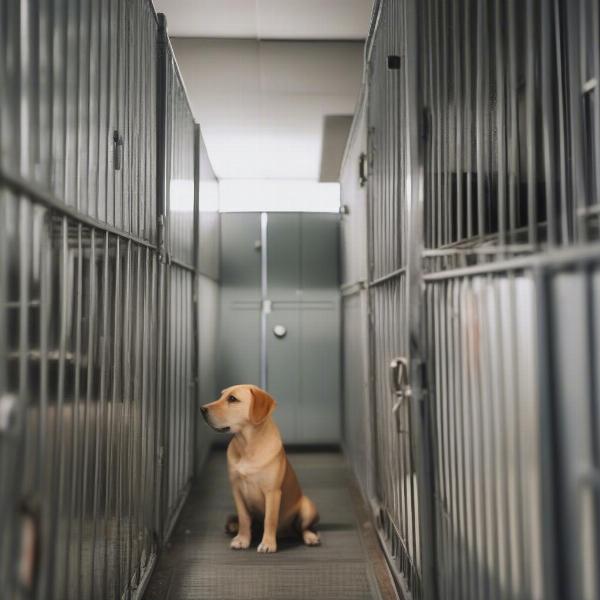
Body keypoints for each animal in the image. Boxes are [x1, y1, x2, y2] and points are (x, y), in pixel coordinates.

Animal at [200, 384, 318, 552]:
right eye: (221, 396)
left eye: (232, 399)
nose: (202, 409)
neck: (248, 446)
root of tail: (286, 532)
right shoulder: (237, 491)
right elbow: (244, 518)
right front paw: (242, 539)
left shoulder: (272, 492)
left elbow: (270, 519)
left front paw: (268, 543)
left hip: (307, 507)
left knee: (303, 528)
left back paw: (310, 537)